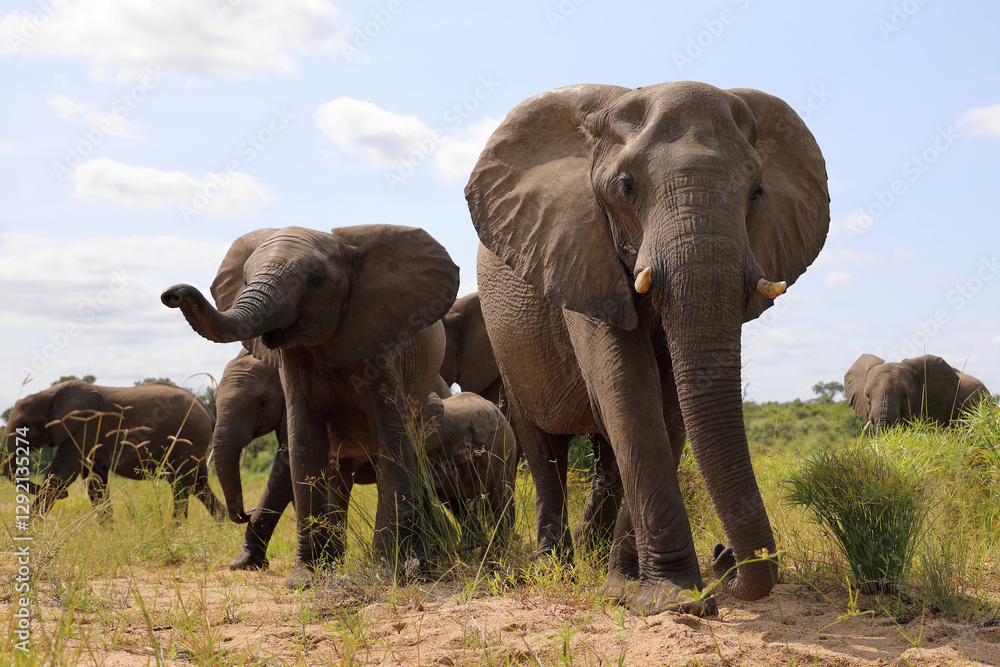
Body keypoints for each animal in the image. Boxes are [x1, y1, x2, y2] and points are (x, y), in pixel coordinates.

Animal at [3, 380, 223, 523]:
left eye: (24, 427)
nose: (65, 495)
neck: (50, 393)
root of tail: (209, 412)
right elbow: (95, 482)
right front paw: (109, 534)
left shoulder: (86, 427)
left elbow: (61, 474)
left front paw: (25, 532)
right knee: (200, 485)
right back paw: (224, 526)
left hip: (189, 438)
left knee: (181, 485)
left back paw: (175, 533)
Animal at [162, 224, 460, 587]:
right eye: (245, 280)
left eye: (316, 281)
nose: (172, 294)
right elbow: (303, 445)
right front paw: (303, 579)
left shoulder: (380, 343)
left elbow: (391, 440)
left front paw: (395, 572)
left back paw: (410, 562)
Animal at [466, 81, 830, 615]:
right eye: (626, 187)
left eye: (757, 192)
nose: (722, 554)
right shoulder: (581, 249)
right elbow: (628, 391)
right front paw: (675, 600)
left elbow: (670, 404)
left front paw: (634, 591)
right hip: (506, 342)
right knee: (544, 449)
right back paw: (557, 568)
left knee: (606, 458)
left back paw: (598, 560)